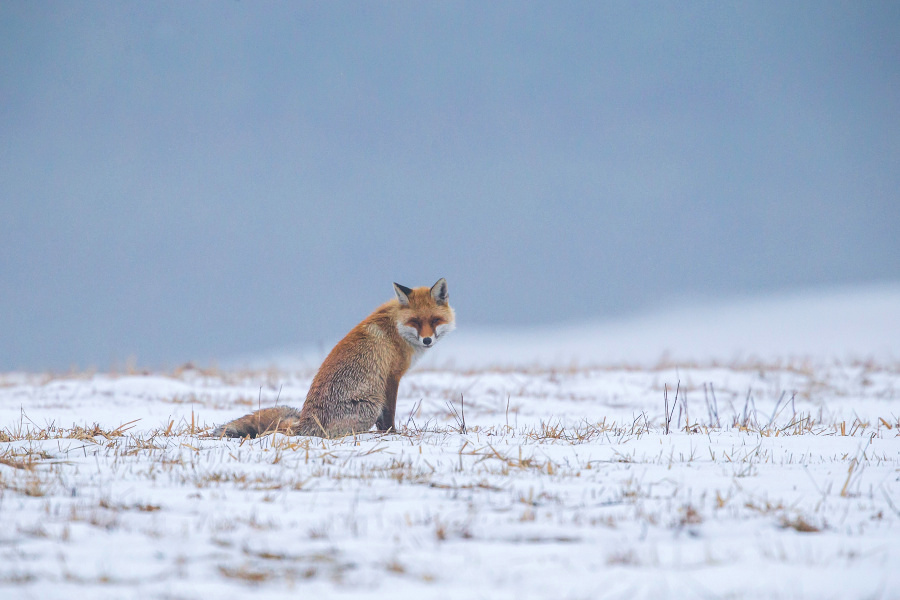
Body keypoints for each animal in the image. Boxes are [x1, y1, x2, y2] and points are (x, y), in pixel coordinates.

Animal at [209, 278, 450, 438]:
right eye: (415, 322)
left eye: (435, 320)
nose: (427, 340)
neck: (395, 327)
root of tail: (304, 424)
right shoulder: (391, 377)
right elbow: (389, 415)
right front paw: (392, 434)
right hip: (370, 405)